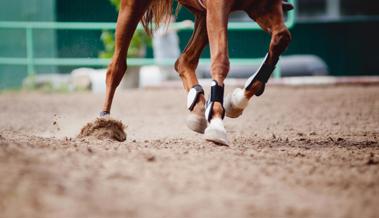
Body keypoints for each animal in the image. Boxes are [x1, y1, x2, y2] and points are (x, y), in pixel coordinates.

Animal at [100, 0, 294, 146]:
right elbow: (221, 60)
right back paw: (104, 123)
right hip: (133, 6)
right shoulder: (219, 6)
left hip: (202, 13)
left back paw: (199, 110)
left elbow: (282, 37)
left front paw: (236, 101)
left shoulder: (263, 5)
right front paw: (216, 122)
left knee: (184, 61)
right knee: (116, 66)